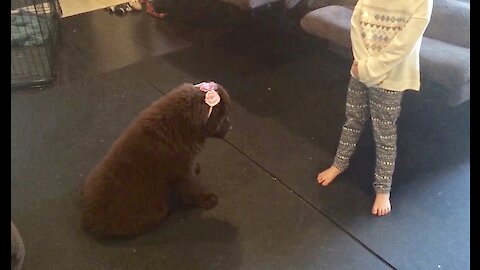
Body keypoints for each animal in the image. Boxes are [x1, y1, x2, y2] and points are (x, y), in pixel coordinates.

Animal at [81, 82, 232, 238]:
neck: (180, 126)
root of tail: (88, 221)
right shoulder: (181, 170)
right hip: (153, 209)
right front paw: (207, 199)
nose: (230, 125)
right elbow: (194, 186)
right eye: (224, 117)